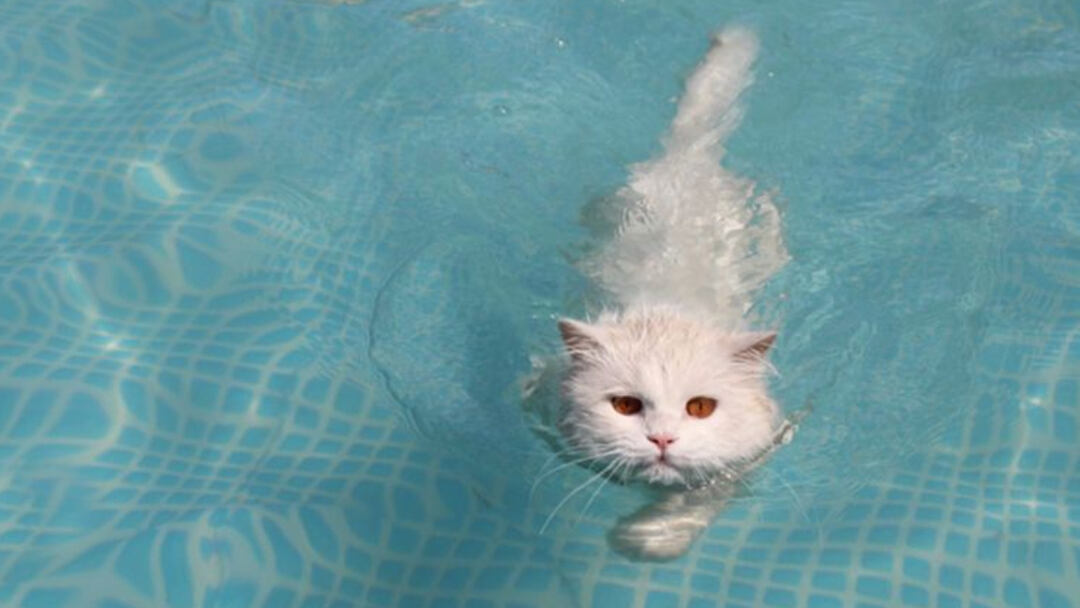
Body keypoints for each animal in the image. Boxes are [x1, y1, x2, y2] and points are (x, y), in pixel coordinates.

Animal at [535, 27, 790, 561]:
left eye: (700, 408)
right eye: (625, 406)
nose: (663, 440)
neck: (669, 311)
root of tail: (688, 163)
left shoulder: (758, 450)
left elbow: (700, 502)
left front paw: (646, 538)